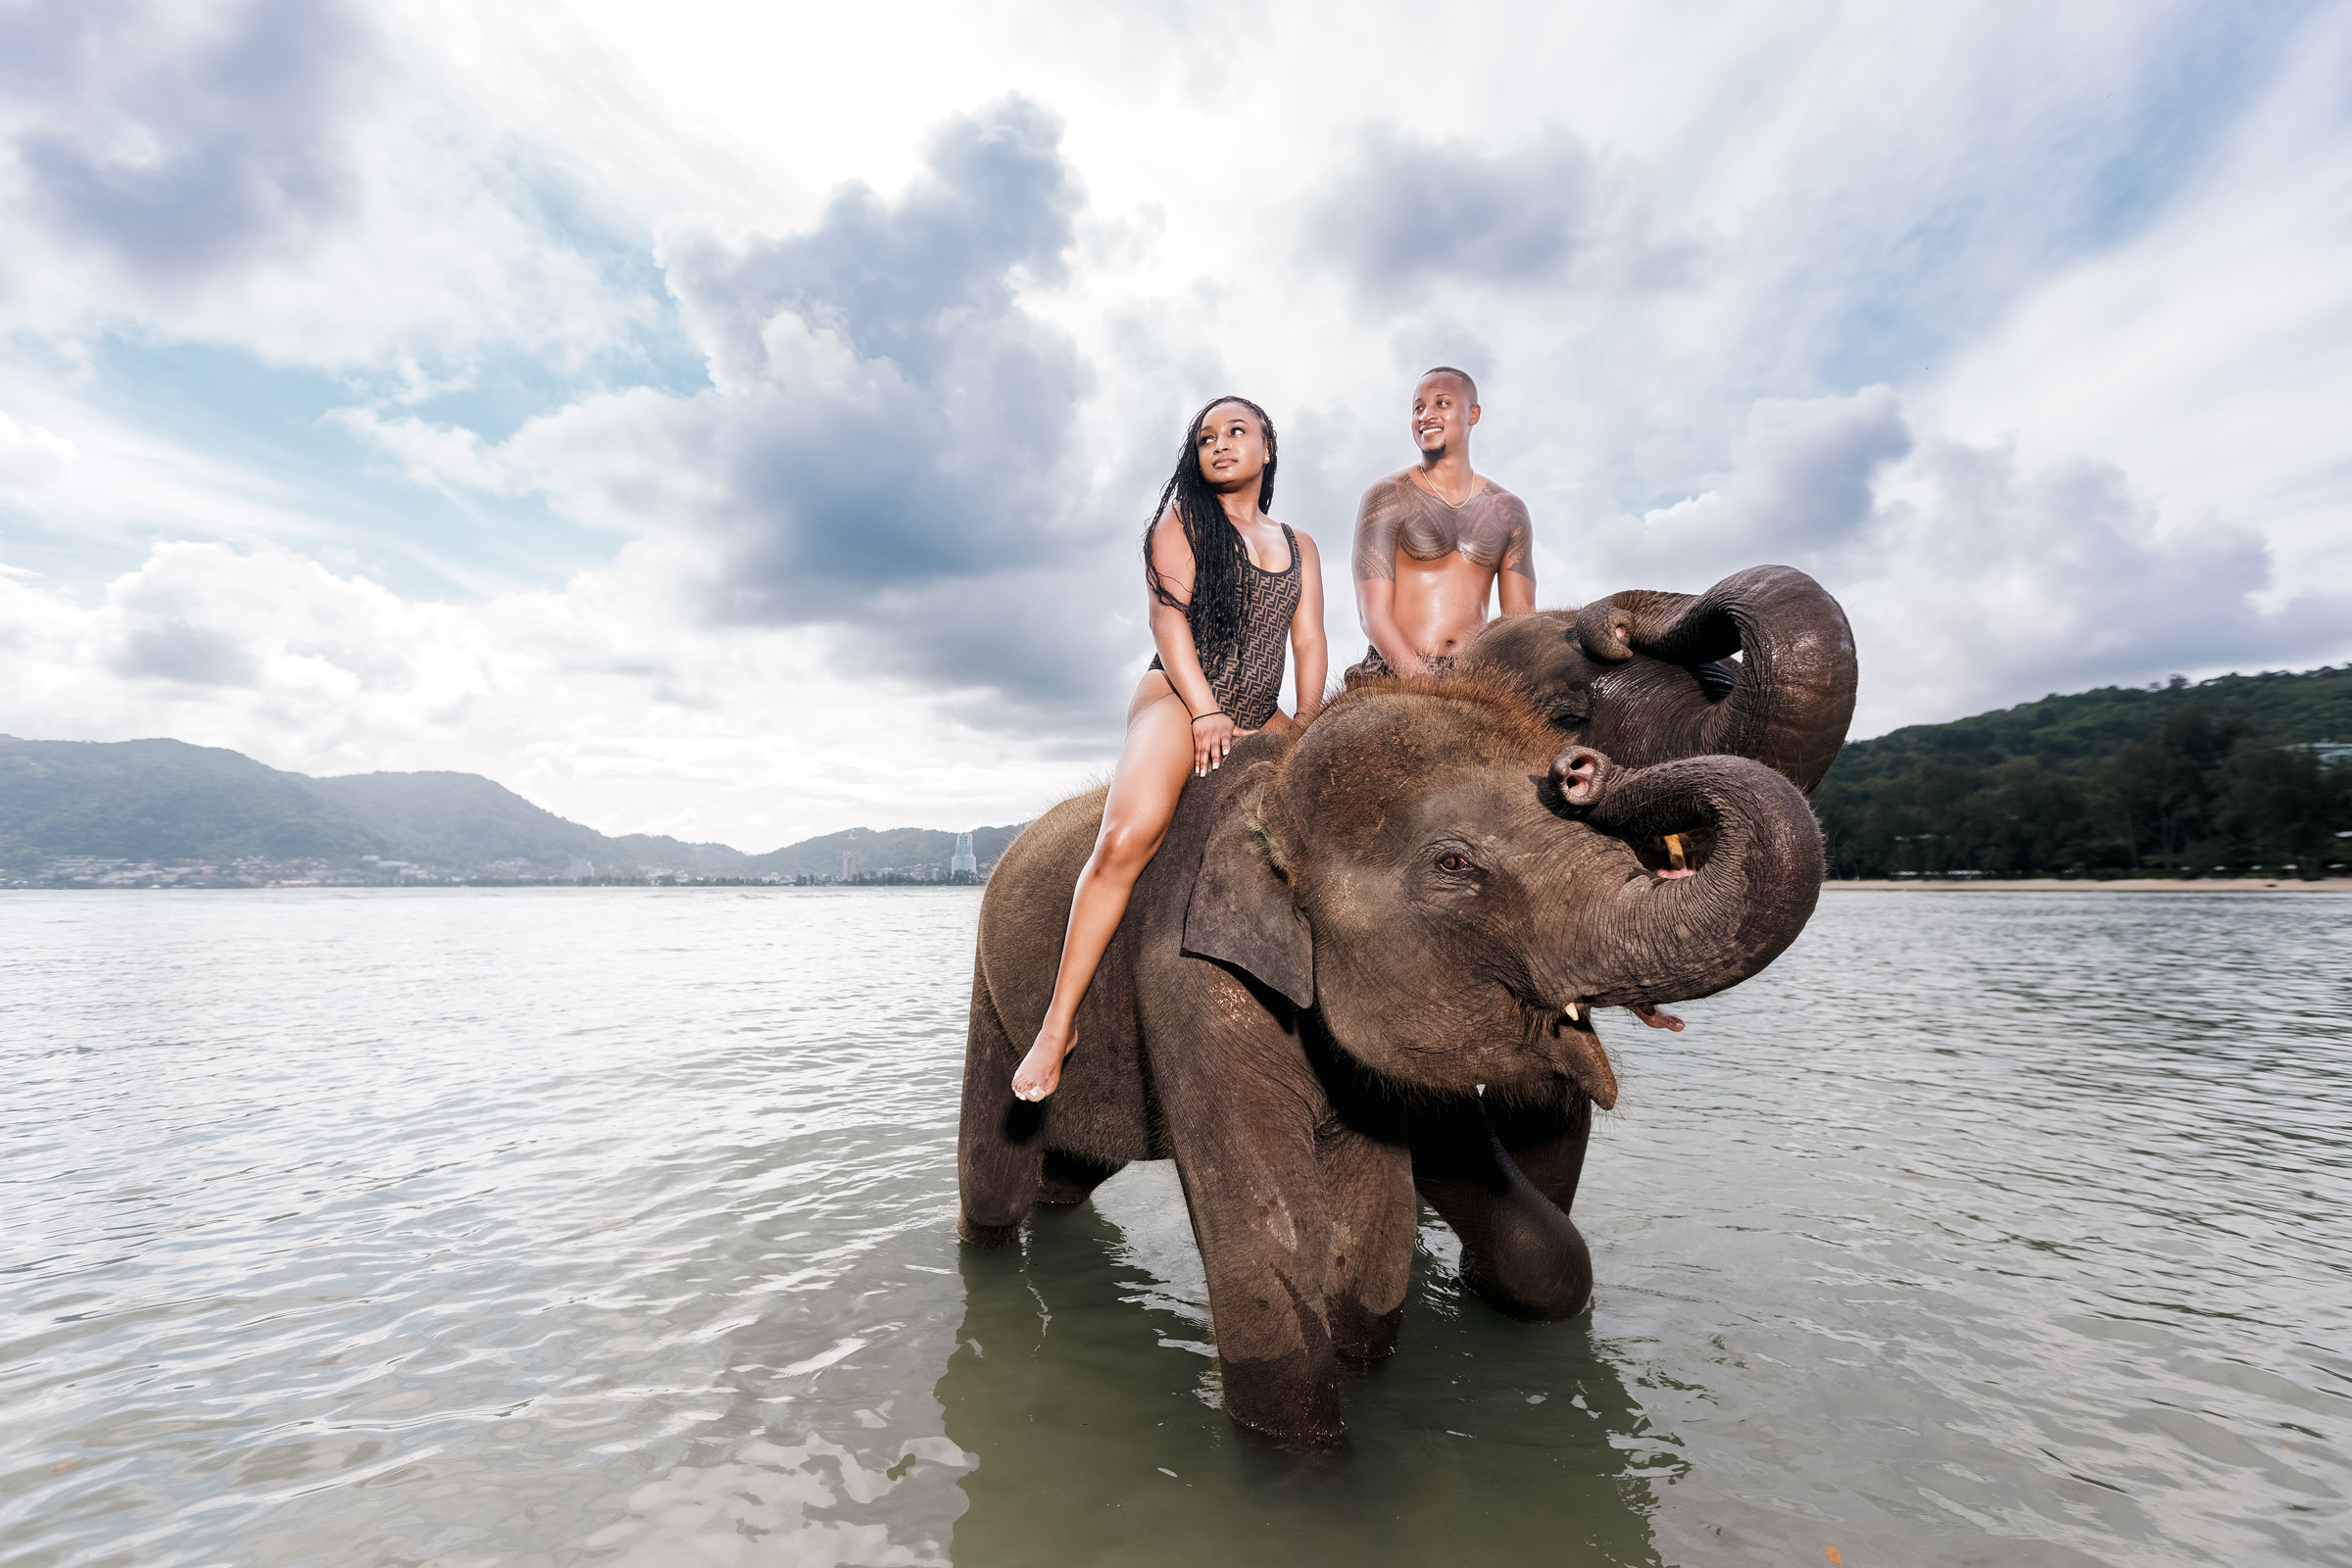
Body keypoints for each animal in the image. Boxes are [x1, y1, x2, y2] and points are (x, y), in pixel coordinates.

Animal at [955, 666, 1828, 1443]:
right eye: (1453, 864)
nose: (1580, 766)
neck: (1272, 790)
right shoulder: (1186, 972)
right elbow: (1267, 1241)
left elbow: (1374, 1229)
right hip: (992, 998)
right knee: (994, 1173)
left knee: (1074, 1167)